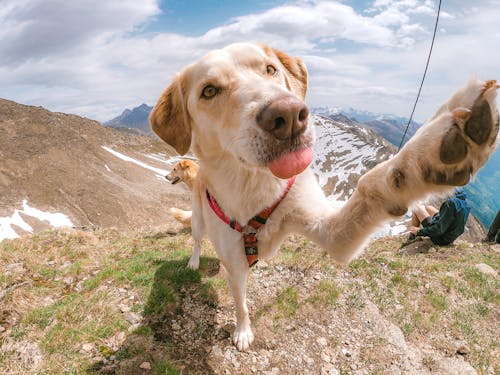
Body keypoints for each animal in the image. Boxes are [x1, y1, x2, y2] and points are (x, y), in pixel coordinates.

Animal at [150, 42, 498, 352]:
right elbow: (241, 304)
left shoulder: (331, 232)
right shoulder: (234, 266)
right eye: (209, 91)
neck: (256, 185)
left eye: (270, 69)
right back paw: (194, 261)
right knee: (196, 239)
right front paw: (243, 331)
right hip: (199, 218)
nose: (289, 115)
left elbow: (372, 185)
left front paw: (432, 152)